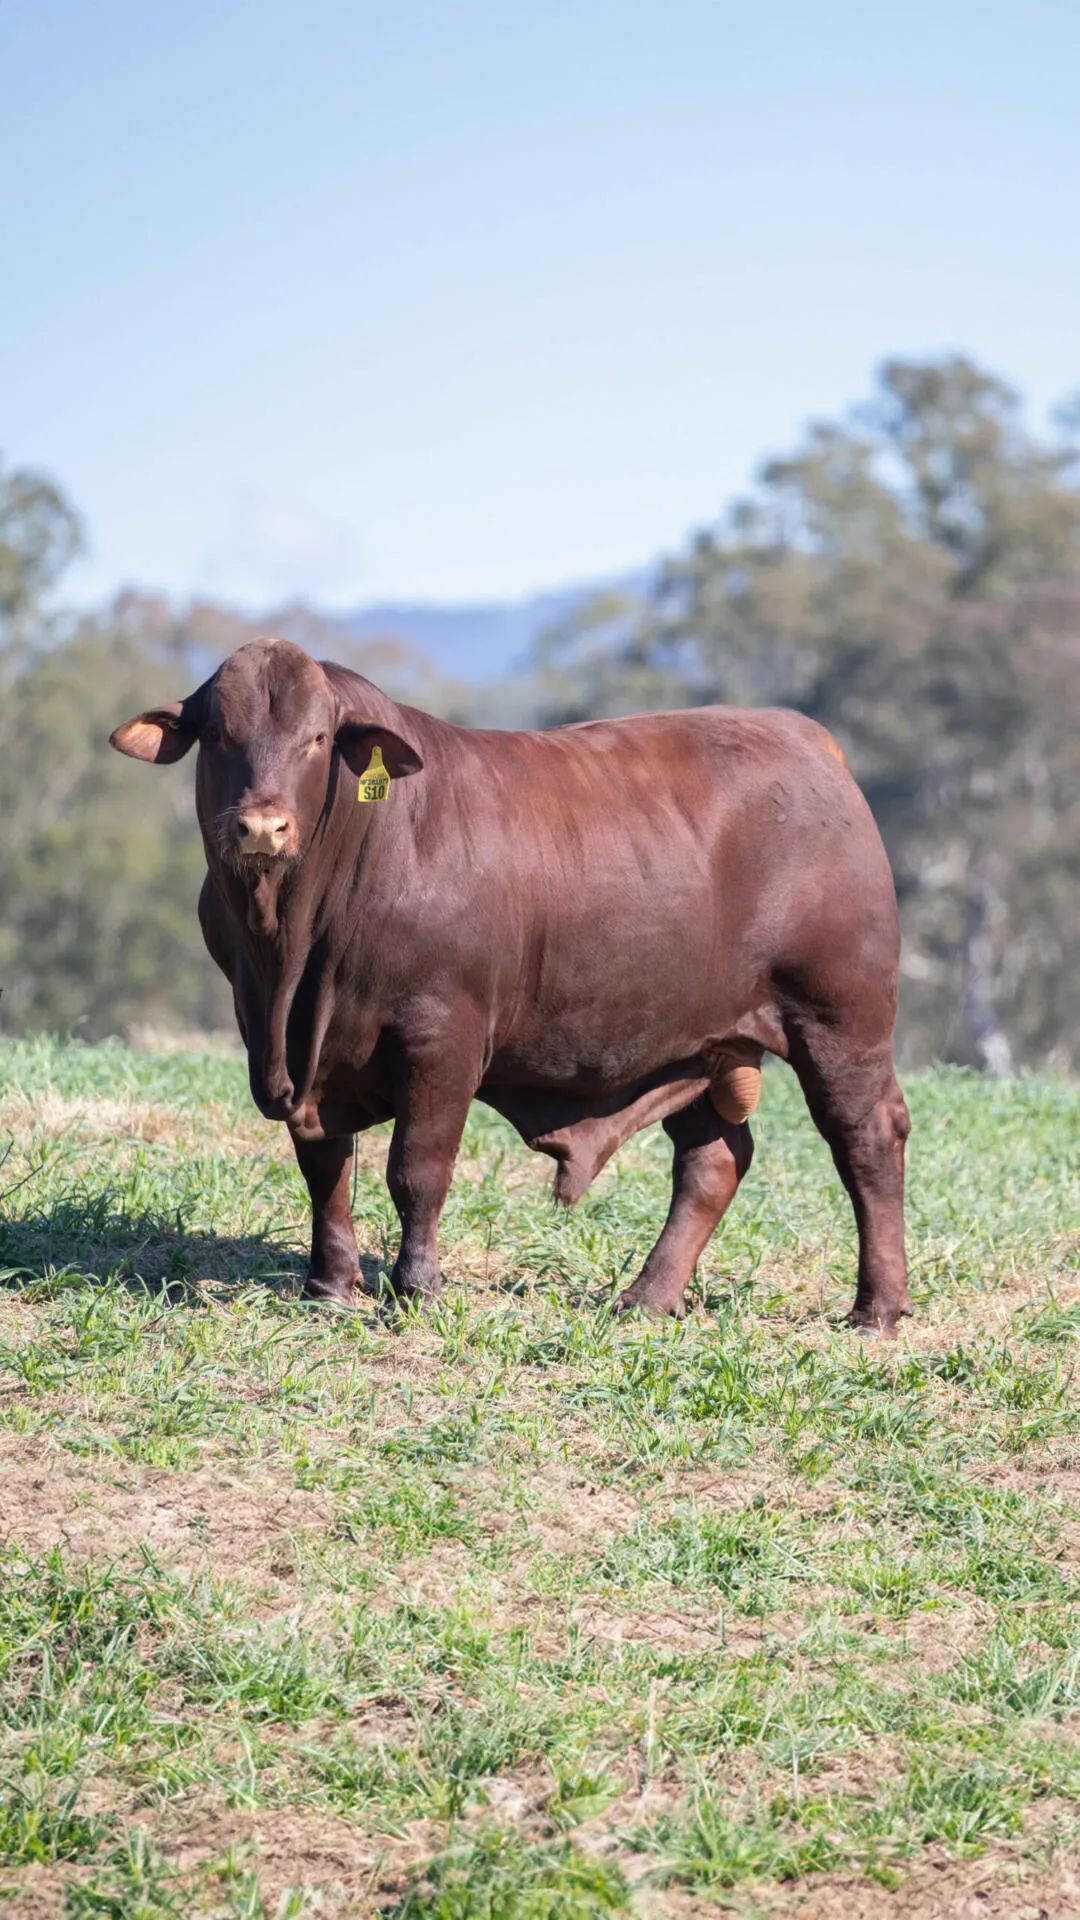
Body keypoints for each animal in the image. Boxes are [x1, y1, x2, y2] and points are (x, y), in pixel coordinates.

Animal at [110, 638, 911, 1332]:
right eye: (219, 734)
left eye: (316, 738)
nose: (262, 827)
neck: (292, 956)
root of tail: (805, 737)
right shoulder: (282, 1046)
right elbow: (325, 1167)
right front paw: (329, 1287)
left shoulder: (442, 1037)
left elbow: (417, 1168)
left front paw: (417, 1288)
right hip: (694, 1040)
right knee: (713, 1159)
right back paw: (646, 1298)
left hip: (840, 1018)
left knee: (867, 1136)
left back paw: (876, 1308)